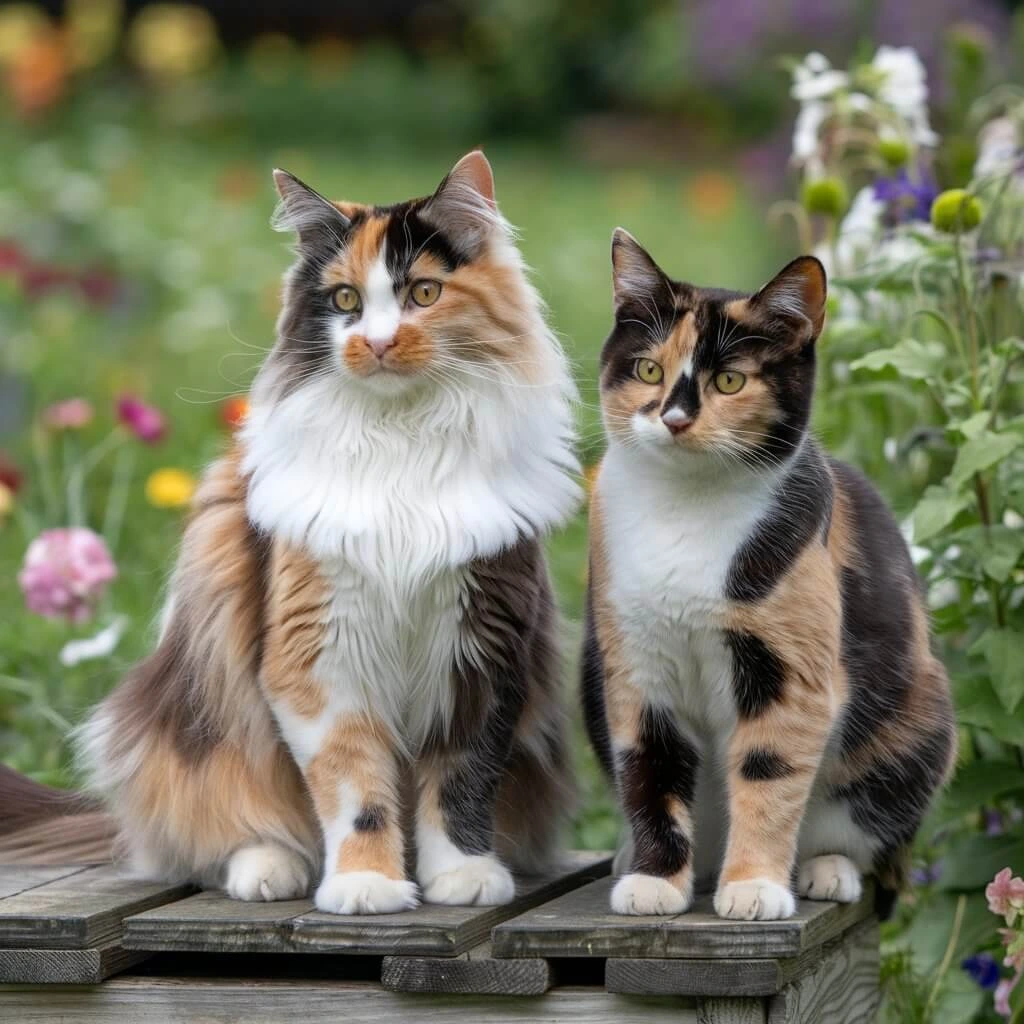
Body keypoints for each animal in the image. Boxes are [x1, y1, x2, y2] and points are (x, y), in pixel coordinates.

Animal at [0, 151, 581, 913]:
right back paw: (270, 869)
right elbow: (356, 787)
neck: (403, 440)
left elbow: (461, 781)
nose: (377, 342)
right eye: (345, 302)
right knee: (222, 831)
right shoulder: (320, 656)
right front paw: (367, 884)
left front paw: (460, 874)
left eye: (424, 293)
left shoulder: (485, 649)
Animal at [585, 230, 958, 921]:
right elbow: (650, 770)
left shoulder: (789, 671)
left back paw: (824, 871)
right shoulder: (635, 668)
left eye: (730, 380)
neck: (686, 509)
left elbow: (769, 770)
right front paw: (655, 879)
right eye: (649, 369)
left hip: (916, 728)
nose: (674, 417)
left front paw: (755, 886)